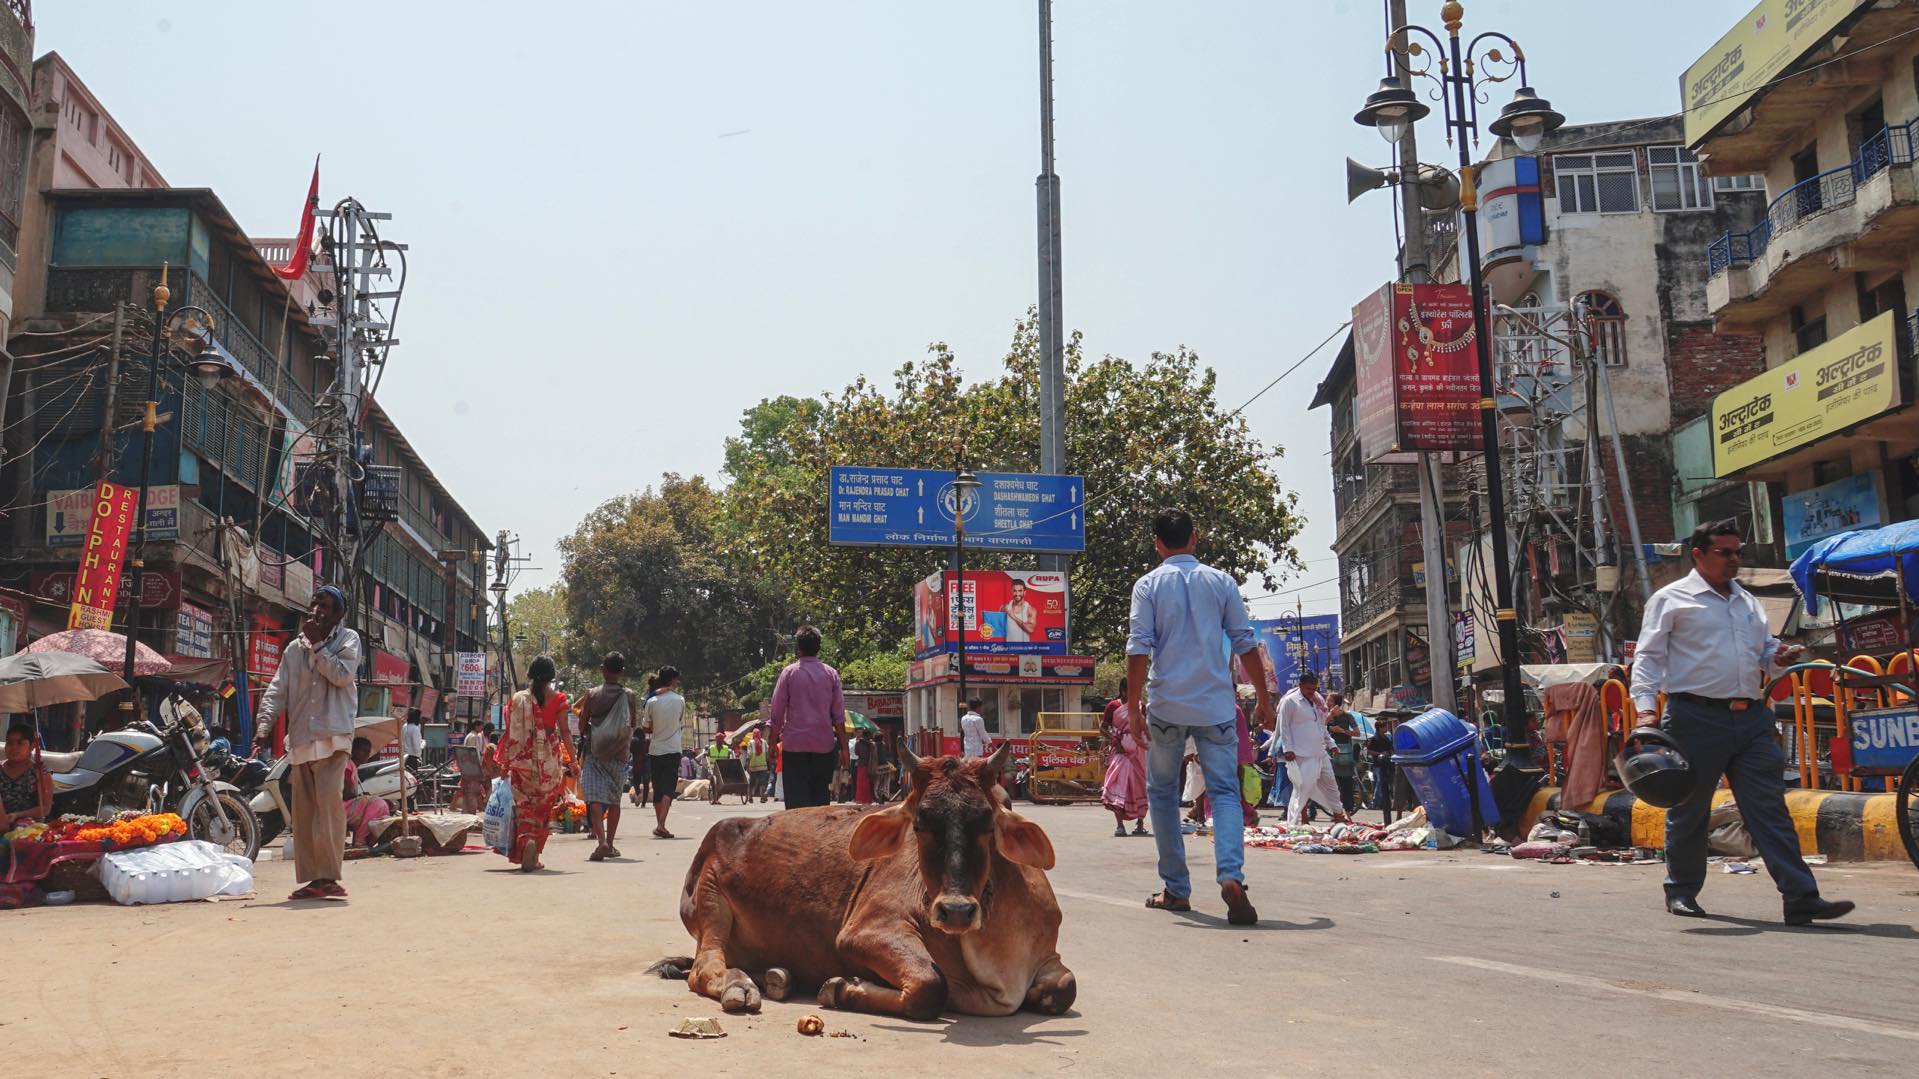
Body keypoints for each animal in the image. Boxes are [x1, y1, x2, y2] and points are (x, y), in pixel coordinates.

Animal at [663, 737, 1082, 1013]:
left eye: (988, 822)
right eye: (919, 824)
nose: (956, 911)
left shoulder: (1048, 956)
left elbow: (1066, 987)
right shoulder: (865, 931)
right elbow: (931, 987)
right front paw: (841, 988)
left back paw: (777, 976)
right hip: (710, 900)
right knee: (704, 967)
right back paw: (741, 986)